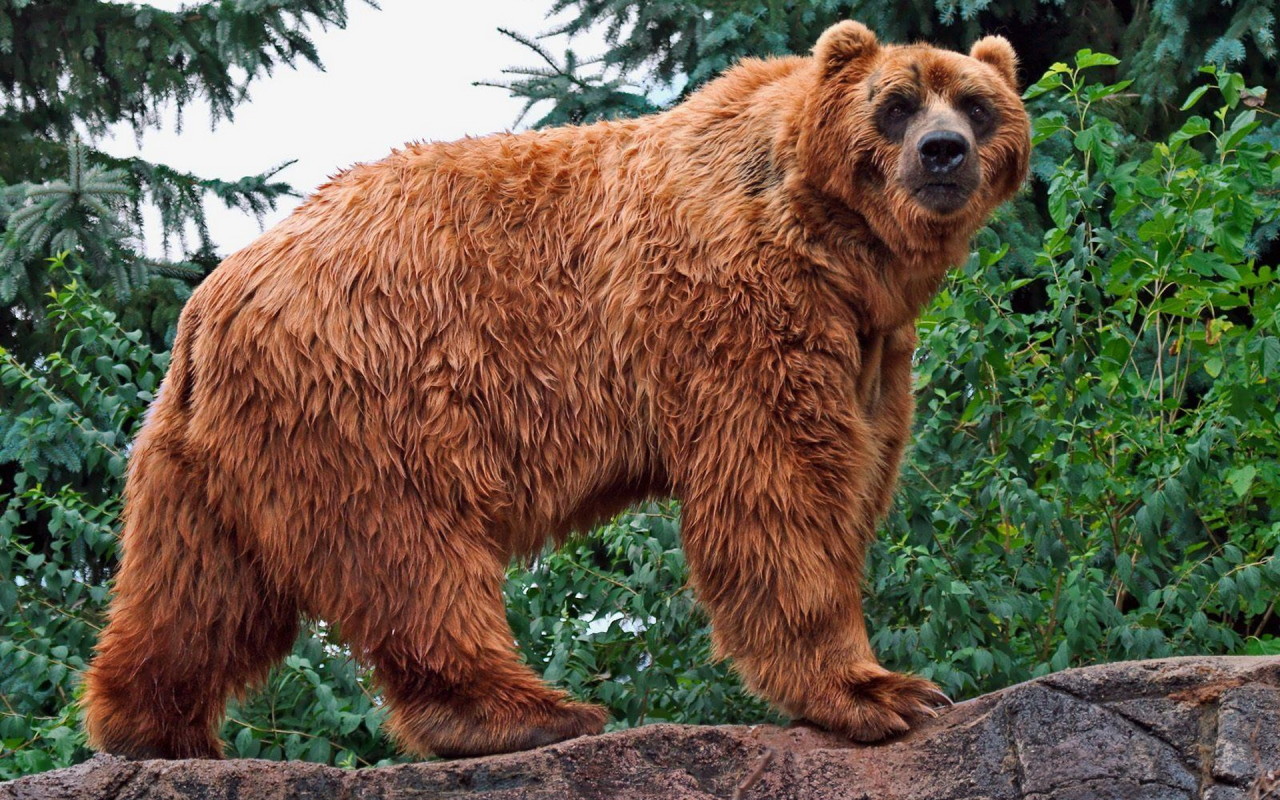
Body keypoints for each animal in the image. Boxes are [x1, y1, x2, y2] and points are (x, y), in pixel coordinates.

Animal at [82, 20, 1031, 760]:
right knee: (412, 552)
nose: (943, 152)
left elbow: (858, 467)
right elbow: (780, 488)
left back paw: (153, 728)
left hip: (213, 452)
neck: (837, 245)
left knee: (200, 586)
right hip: (372, 385)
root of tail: (212, 301)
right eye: (895, 103)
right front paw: (883, 691)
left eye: (977, 103)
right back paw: (530, 713)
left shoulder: (870, 342)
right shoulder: (739, 304)